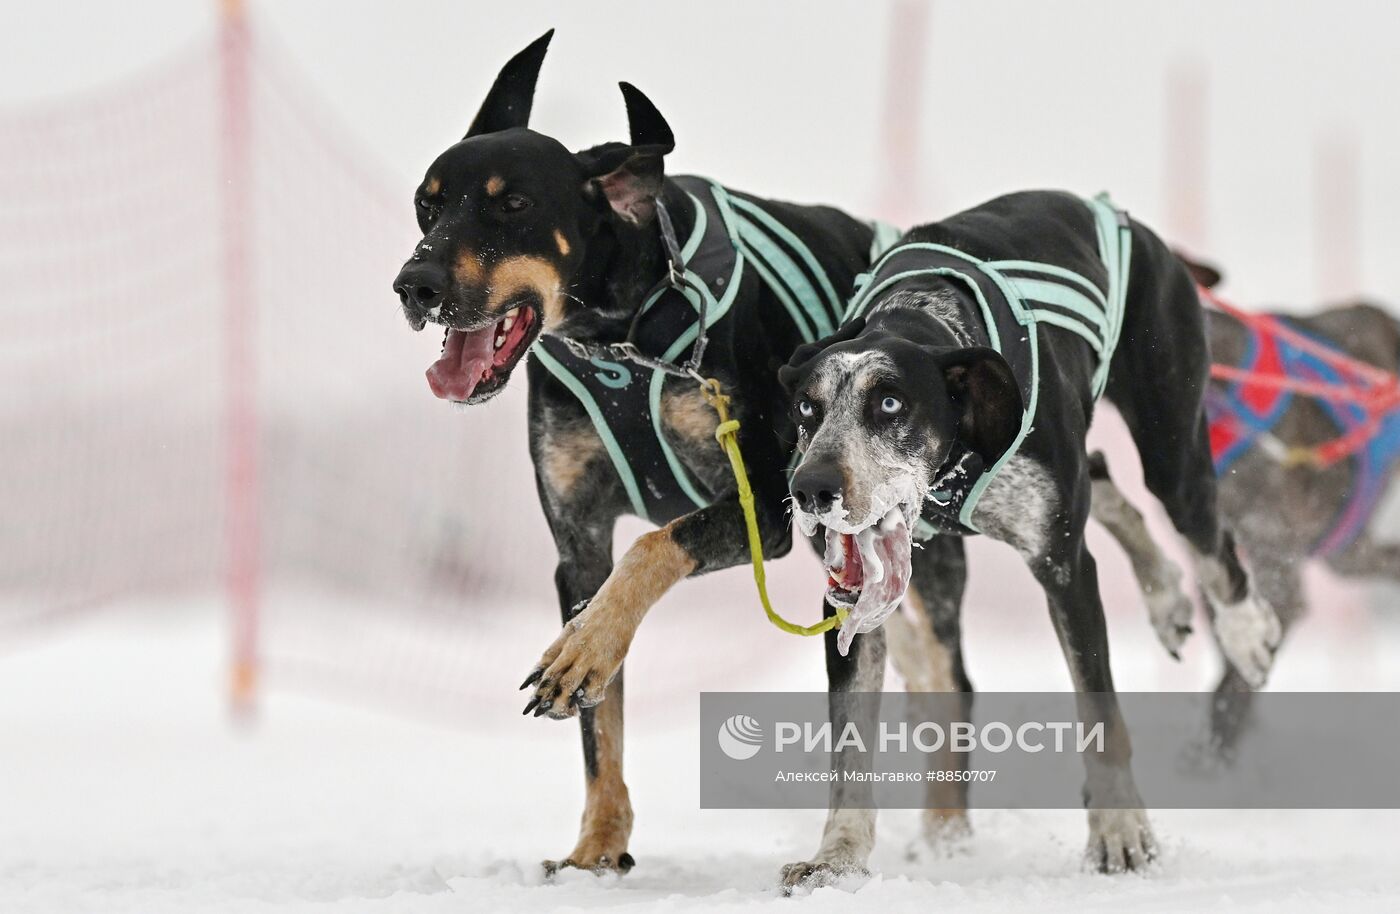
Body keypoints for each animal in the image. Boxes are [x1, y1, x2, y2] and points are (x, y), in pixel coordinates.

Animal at [392, 33, 896, 879]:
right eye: (427, 205)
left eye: (512, 205)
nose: (414, 284)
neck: (621, 337)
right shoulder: (578, 547)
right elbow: (600, 727)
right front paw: (598, 847)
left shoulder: (762, 509)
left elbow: (654, 547)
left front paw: (584, 652)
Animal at [778, 190, 1282, 867]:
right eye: (807, 407)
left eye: (889, 403)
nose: (811, 489)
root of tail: (1121, 216)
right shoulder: (854, 596)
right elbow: (850, 744)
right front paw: (837, 855)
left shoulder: (1064, 570)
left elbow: (1100, 714)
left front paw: (1120, 830)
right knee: (1105, 480)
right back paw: (1165, 595)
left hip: (1173, 456)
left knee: (1209, 541)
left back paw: (1247, 632)